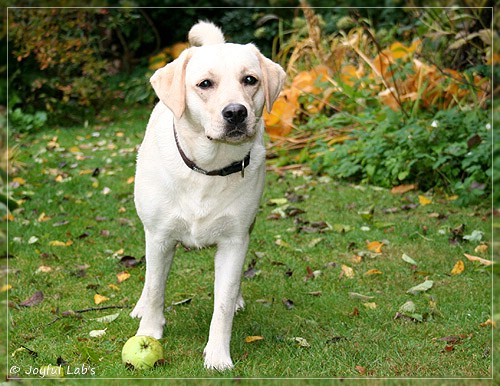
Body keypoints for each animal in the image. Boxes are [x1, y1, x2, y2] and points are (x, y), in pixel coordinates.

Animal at [130, 21, 286, 370]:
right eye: (205, 84)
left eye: (250, 80)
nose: (236, 113)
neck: (207, 169)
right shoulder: (159, 236)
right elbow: (156, 286)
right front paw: (148, 332)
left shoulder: (234, 240)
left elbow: (223, 302)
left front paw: (217, 355)